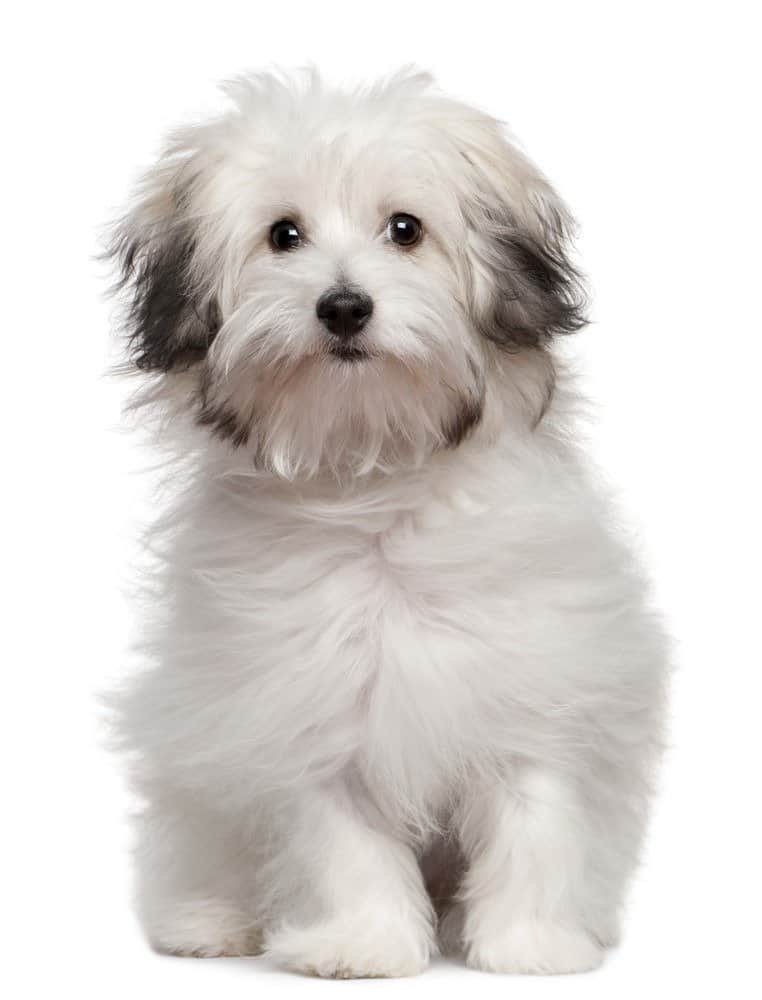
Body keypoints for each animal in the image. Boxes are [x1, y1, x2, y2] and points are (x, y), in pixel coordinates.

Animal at [107, 68, 664, 976]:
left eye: (406, 229)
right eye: (284, 235)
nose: (343, 307)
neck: (376, 488)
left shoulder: (536, 680)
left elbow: (535, 815)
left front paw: (530, 946)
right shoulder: (311, 705)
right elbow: (343, 840)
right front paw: (360, 943)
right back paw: (209, 922)